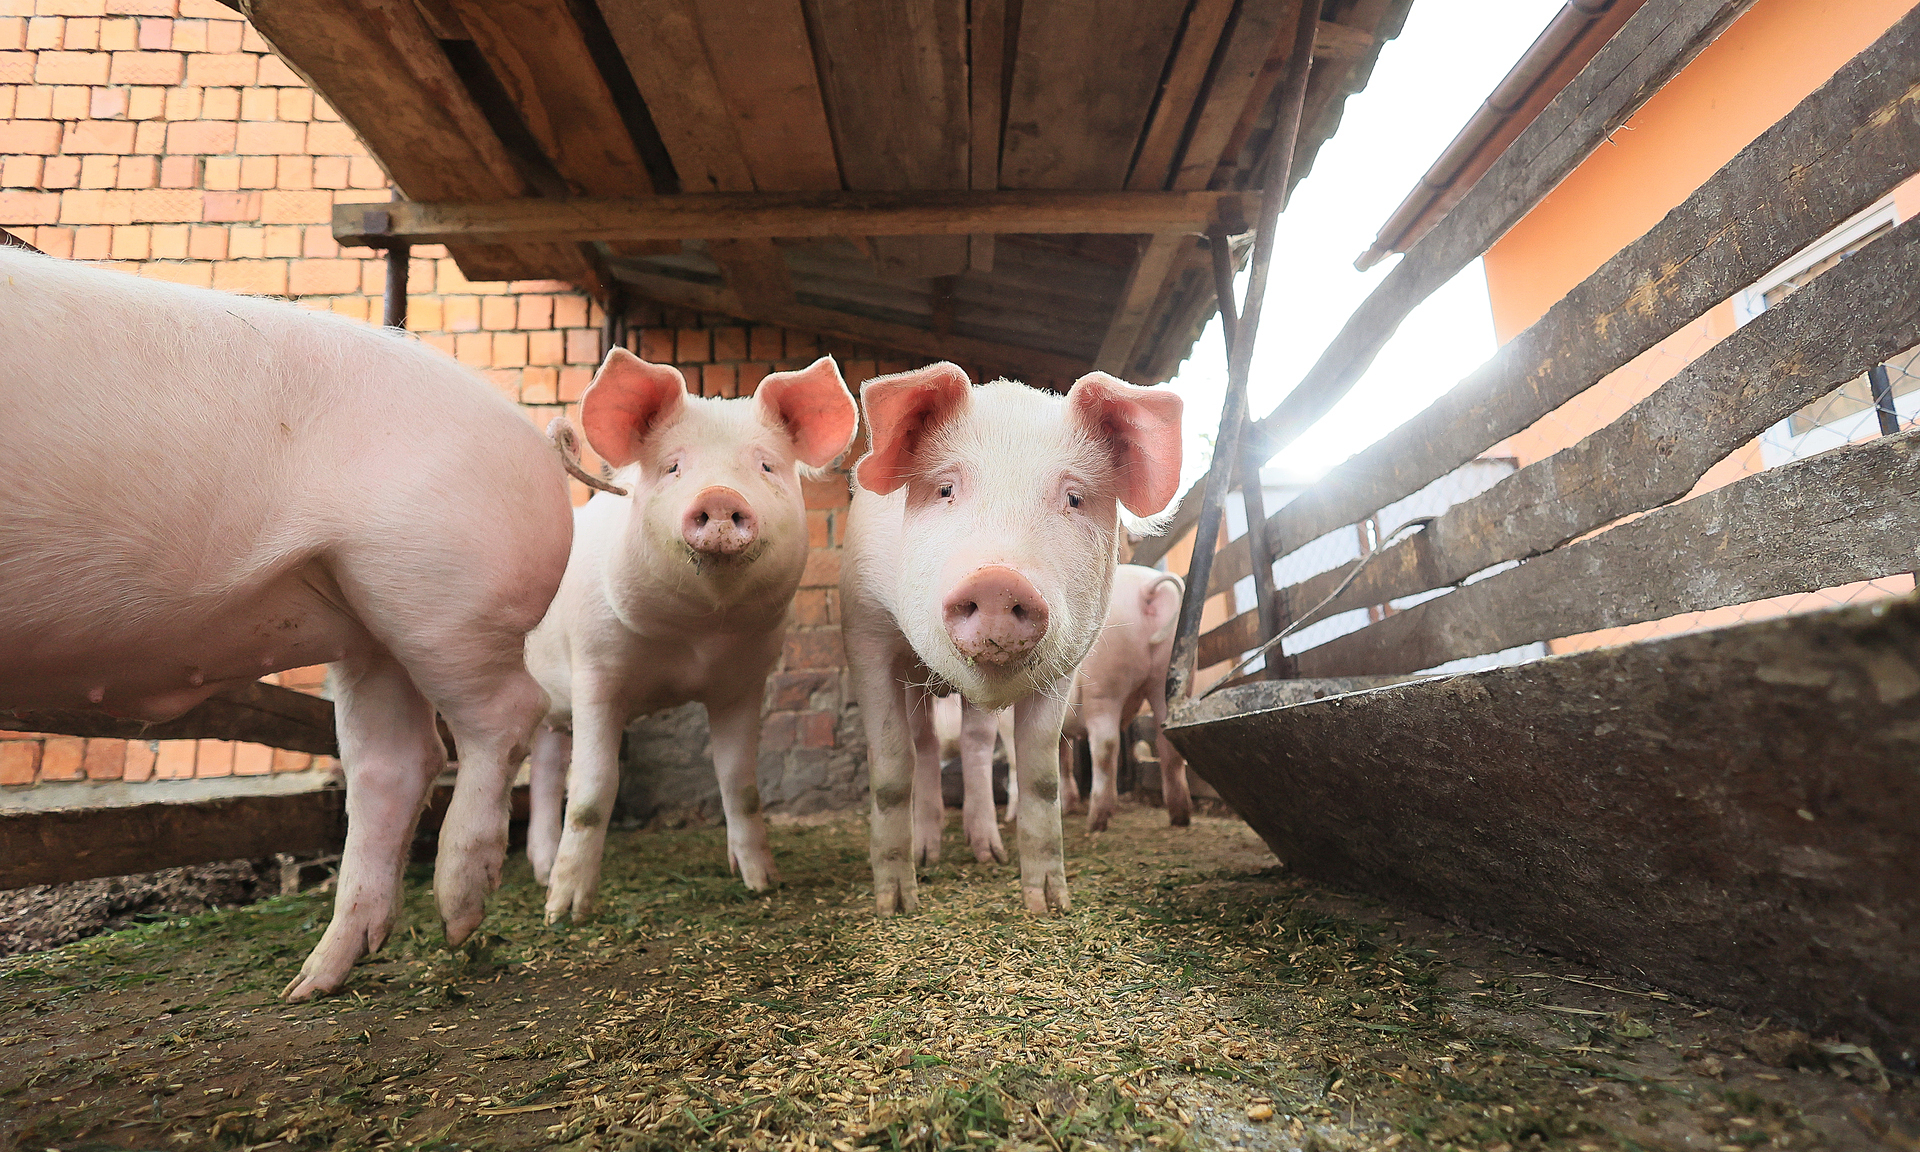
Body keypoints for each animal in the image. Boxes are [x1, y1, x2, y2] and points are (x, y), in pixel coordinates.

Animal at [0, 245, 573, 1000]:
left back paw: (457, 916)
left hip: (439, 590)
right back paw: (310, 984)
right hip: (369, 621)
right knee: (399, 760)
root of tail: (533, 435)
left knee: (505, 715)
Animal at [525, 348, 857, 922]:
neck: (695, 638)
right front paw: (565, 916)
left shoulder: (744, 681)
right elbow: (591, 791)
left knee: (545, 772)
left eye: (765, 465)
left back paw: (542, 873)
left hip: (552, 711)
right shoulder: (595, 670)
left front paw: (762, 883)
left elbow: (739, 783)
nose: (720, 497)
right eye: (674, 466)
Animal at [1056, 565, 1189, 831]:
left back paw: (1096, 821)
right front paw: (1068, 806)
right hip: (1166, 673)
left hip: (1104, 682)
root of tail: (1146, 590)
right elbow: (1064, 760)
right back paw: (1180, 817)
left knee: (1105, 745)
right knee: (1167, 740)